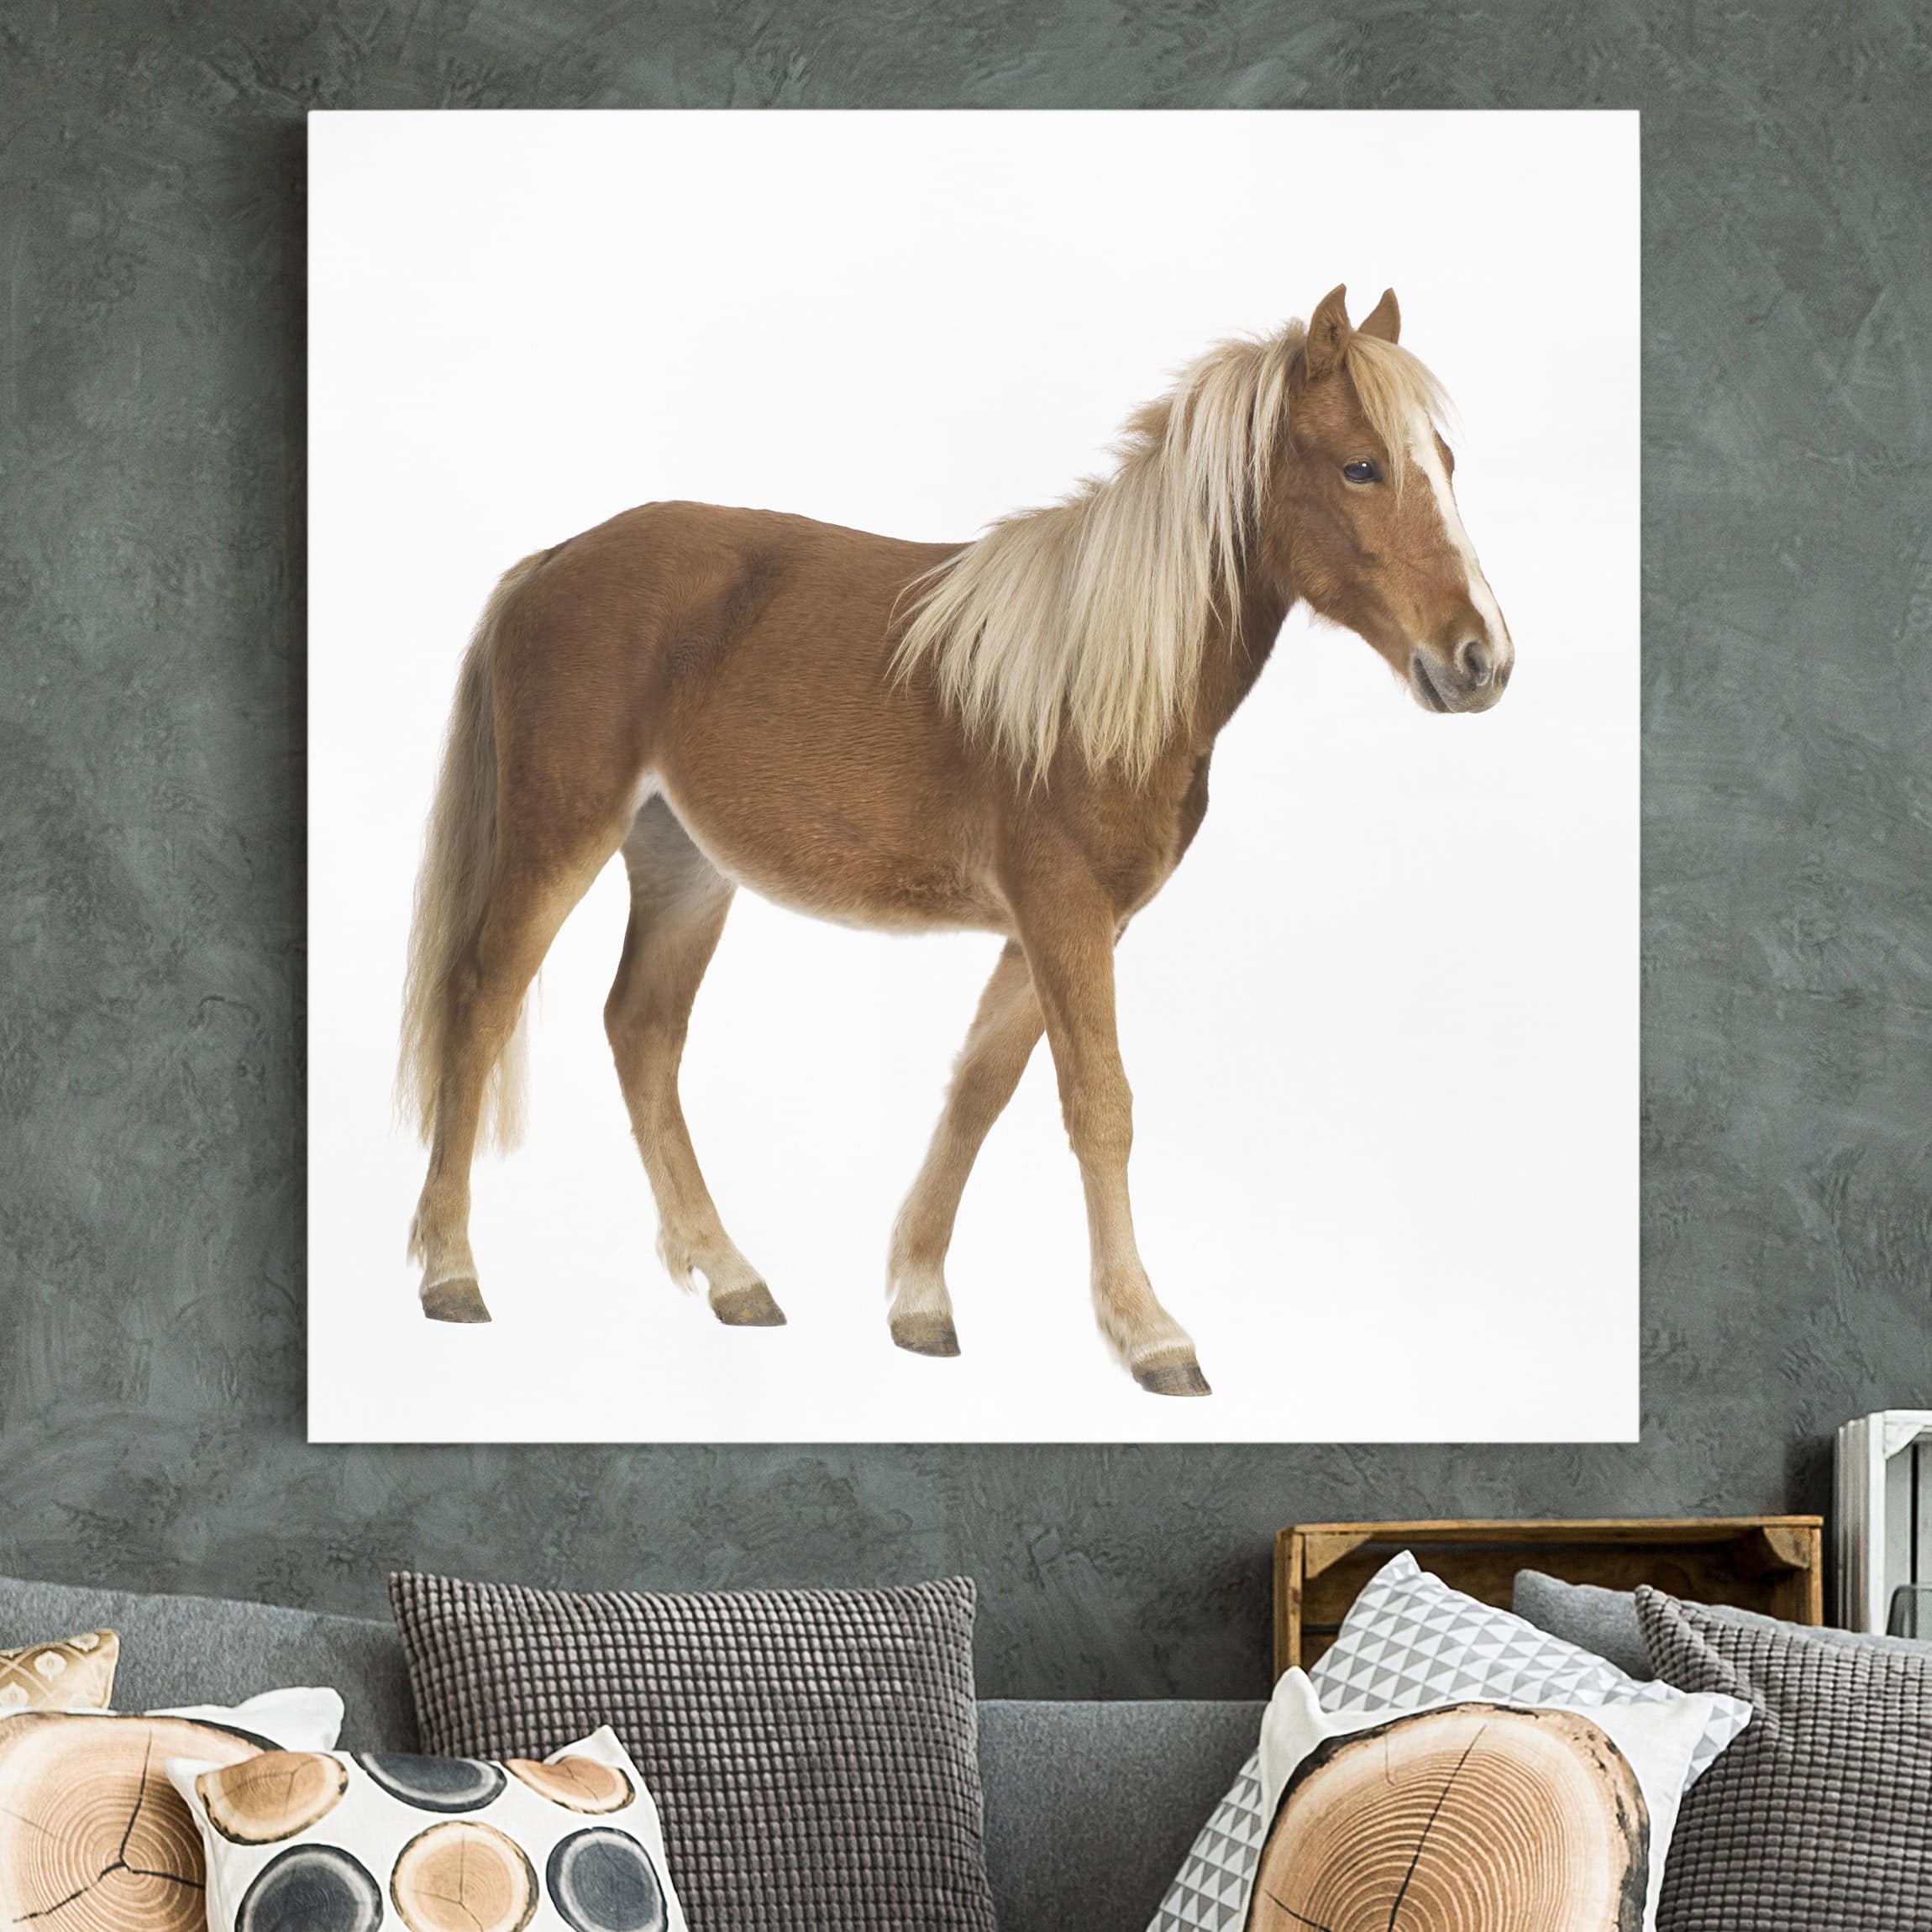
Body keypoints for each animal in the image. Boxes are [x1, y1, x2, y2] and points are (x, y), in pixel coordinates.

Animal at [396, 284, 1513, 1398]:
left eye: (1446, 464)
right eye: (1361, 465)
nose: (1481, 660)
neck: (1092, 675)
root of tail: (555, 560)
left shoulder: (1055, 927)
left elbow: (978, 1090)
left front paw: (920, 1301)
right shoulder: (1063, 912)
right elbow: (1098, 1103)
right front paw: (1149, 1332)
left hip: (684, 864)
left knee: (642, 1028)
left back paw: (731, 1275)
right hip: (561, 831)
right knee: (483, 999)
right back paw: (451, 1272)